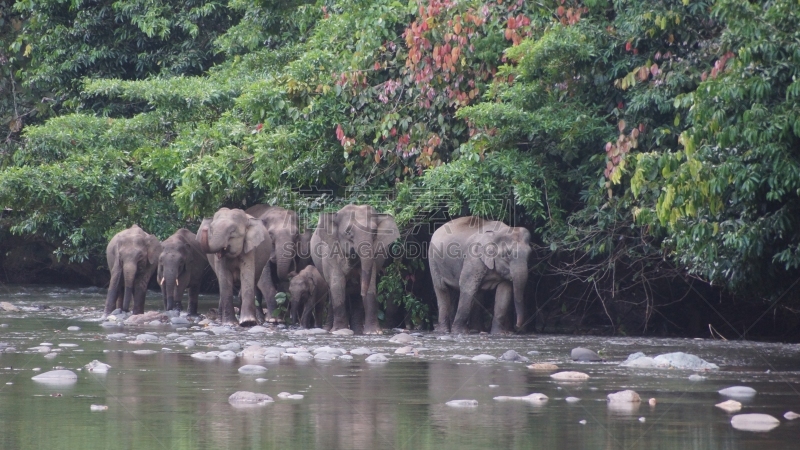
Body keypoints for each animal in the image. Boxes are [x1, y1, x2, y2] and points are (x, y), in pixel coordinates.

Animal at [310, 204, 400, 334]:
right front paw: (340, 331)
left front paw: (373, 332)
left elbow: (370, 285)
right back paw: (328, 329)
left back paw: (357, 330)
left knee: (355, 295)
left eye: (374, 232)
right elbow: (337, 286)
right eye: (348, 232)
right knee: (332, 291)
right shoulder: (330, 254)